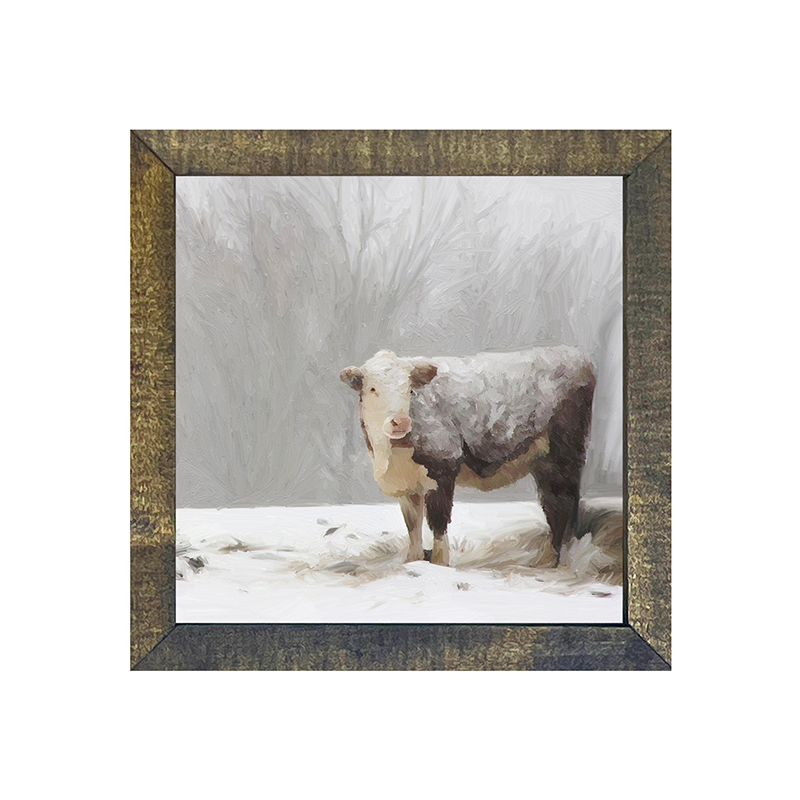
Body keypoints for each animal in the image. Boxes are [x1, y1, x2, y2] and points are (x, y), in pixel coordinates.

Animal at [340, 347, 596, 567]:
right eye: (373, 389)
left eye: (409, 390)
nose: (400, 422)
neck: (391, 455)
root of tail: (574, 353)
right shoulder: (407, 486)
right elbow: (413, 526)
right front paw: (412, 561)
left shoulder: (442, 468)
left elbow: (438, 523)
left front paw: (439, 564)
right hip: (546, 461)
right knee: (561, 503)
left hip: (563, 453)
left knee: (561, 503)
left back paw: (550, 560)